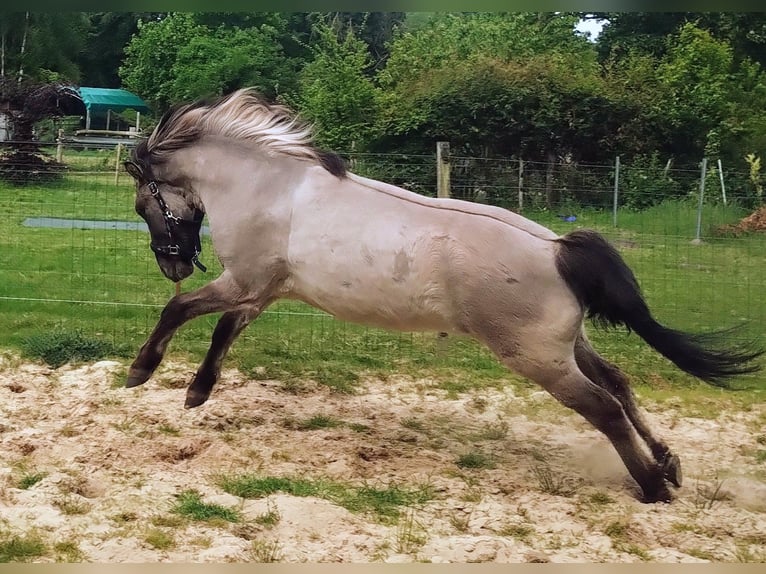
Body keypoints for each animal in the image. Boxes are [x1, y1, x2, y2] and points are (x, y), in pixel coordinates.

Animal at [123, 88, 762, 503]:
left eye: (141, 202)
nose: (171, 262)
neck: (270, 187)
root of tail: (557, 247)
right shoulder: (261, 291)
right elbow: (222, 331)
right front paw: (197, 392)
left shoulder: (243, 281)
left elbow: (180, 309)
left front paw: (141, 371)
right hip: (569, 345)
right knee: (621, 385)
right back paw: (668, 464)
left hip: (537, 358)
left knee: (603, 405)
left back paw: (652, 487)